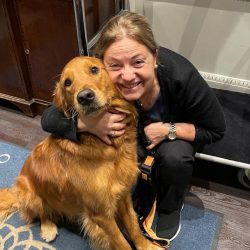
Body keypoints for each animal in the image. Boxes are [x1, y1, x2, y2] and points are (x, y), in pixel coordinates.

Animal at [0, 57, 164, 250]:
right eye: (67, 83)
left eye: (94, 69)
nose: (84, 97)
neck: (107, 146)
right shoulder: (101, 214)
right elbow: (121, 242)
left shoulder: (123, 195)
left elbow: (133, 226)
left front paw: (146, 245)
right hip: (30, 194)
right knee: (43, 213)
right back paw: (48, 228)